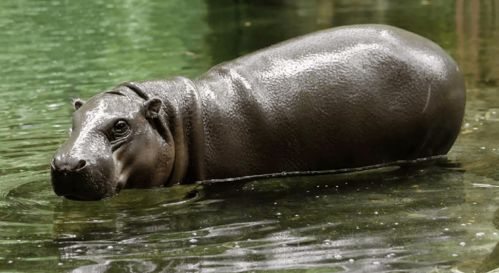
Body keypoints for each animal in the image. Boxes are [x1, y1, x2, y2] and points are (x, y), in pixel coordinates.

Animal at [49, 24, 464, 199]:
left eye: (120, 126)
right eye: (72, 121)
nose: (66, 165)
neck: (177, 118)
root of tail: (446, 56)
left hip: (427, 148)